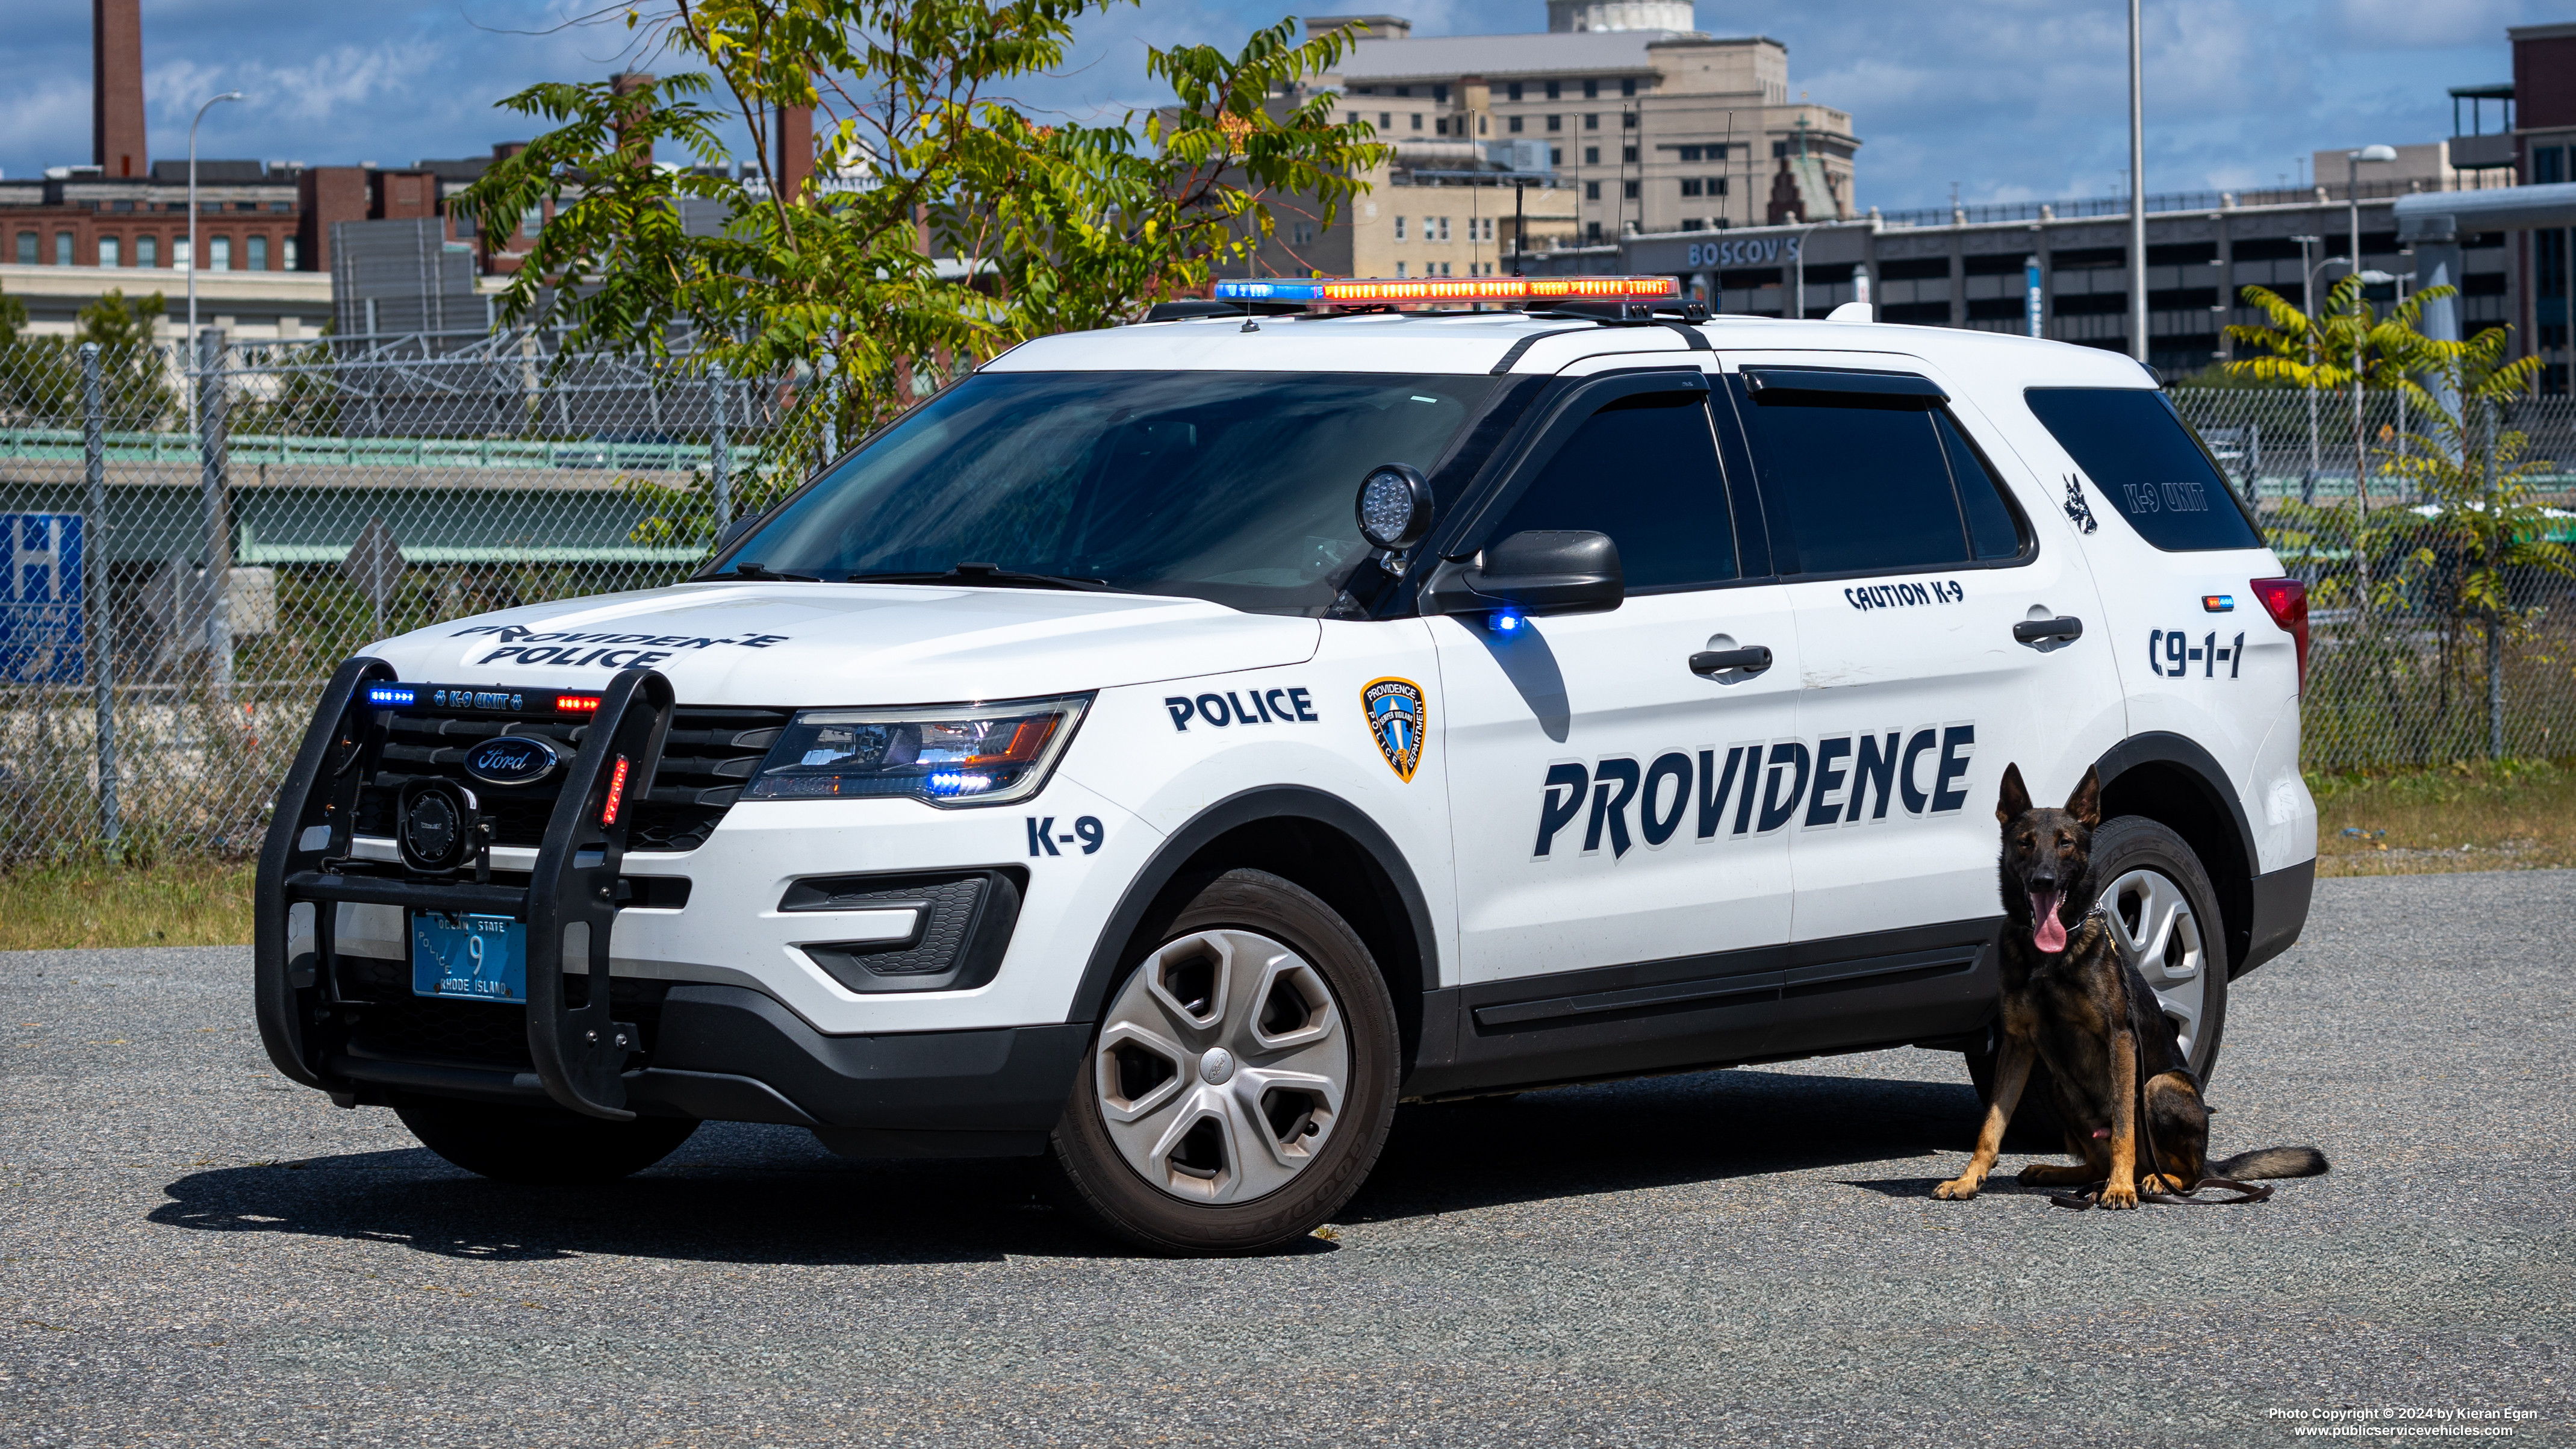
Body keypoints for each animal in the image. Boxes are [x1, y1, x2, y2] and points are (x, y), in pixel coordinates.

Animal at [1937, 763, 2339, 1201]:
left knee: (2188, 1173)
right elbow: (1991, 1125)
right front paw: (1968, 1178)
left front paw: (2120, 1186)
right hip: (2062, 1089)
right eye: (2025, 843)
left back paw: (2152, 1181)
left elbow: (2123, 1127)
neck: (2052, 955)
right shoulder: (2018, 1045)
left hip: (2157, 1087)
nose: (2043, 880)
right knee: (2095, 1165)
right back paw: (2058, 1172)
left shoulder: (2120, 1039)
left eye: (2065, 844)